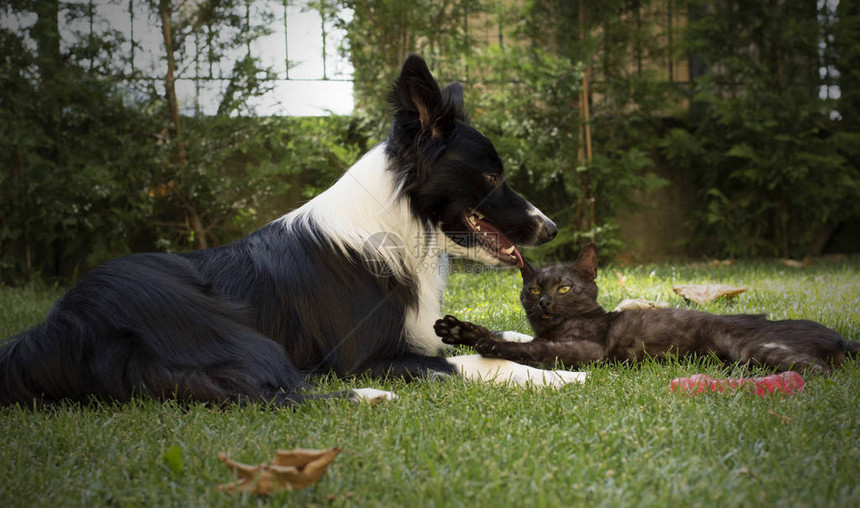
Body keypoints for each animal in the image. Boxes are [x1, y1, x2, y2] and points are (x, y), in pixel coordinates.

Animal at [1, 55, 576, 406]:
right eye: (492, 176)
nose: (550, 229)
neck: (398, 223)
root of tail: (50, 329)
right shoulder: (368, 358)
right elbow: (472, 362)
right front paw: (559, 376)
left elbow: (501, 338)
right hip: (215, 324)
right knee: (272, 392)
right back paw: (370, 399)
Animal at [436, 244, 860, 372]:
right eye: (534, 288)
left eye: (564, 287)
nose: (544, 302)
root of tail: (839, 336)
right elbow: (516, 334)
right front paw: (459, 330)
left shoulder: (588, 350)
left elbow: (531, 347)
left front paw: (491, 346)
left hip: (754, 349)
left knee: (822, 373)